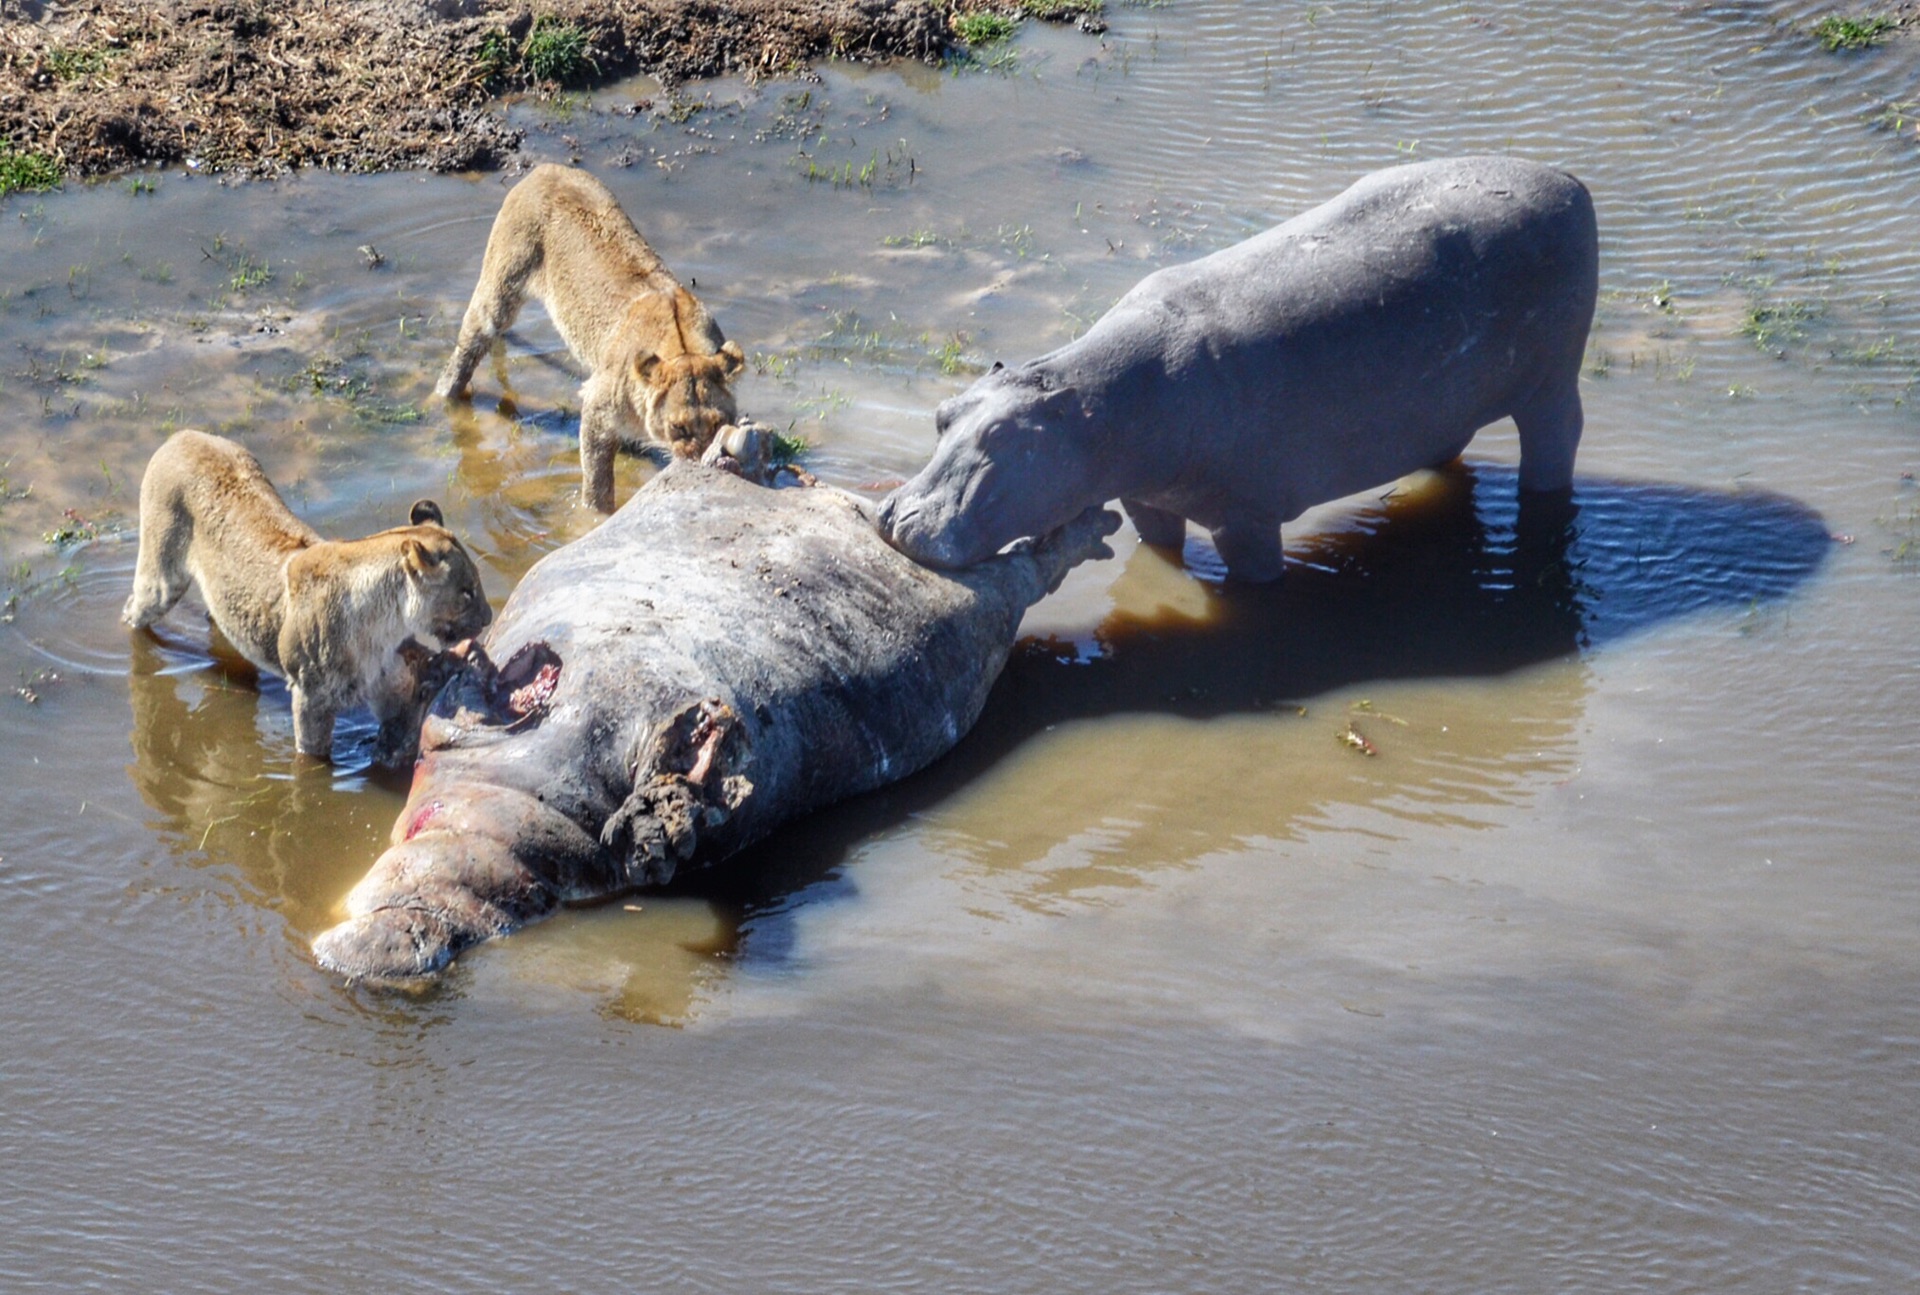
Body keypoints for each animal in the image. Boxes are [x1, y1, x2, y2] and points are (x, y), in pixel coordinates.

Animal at [121, 428, 495, 760]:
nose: (489, 617)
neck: (385, 624)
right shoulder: (309, 695)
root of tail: (183, 435)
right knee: (132, 611)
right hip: (161, 580)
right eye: (466, 592)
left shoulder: (389, 684)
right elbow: (312, 758)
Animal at [314, 459, 1121, 972]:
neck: (527, 823)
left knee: (1025, 567)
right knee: (1019, 567)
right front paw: (679, 788)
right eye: (530, 900)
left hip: (971, 597)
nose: (393, 948)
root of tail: (849, 499)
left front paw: (687, 765)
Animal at [439, 166, 744, 514]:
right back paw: (443, 397)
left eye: (719, 423)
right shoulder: (597, 407)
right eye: (678, 428)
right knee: (468, 347)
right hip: (501, 286)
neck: (682, 347)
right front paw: (594, 515)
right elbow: (597, 483)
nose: (700, 464)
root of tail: (545, 169)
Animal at [879, 153, 1597, 576]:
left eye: (1003, 437)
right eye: (942, 414)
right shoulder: (1146, 497)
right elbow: (1159, 547)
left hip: (1552, 385)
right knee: (1449, 446)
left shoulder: (1246, 518)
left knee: (1555, 447)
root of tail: (1568, 180)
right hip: (1443, 404)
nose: (896, 517)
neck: (1090, 409)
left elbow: (1255, 576)